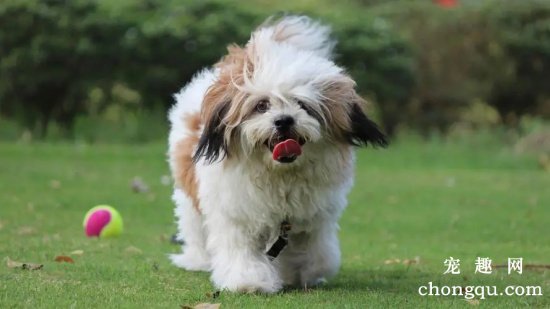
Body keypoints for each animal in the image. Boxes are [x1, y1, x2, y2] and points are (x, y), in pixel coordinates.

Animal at [168, 15, 388, 292]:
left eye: (303, 105)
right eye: (262, 106)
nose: (284, 120)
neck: (280, 174)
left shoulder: (312, 219)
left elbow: (316, 254)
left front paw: (300, 273)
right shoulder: (236, 213)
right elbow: (242, 250)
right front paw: (249, 280)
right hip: (190, 198)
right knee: (195, 227)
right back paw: (197, 260)